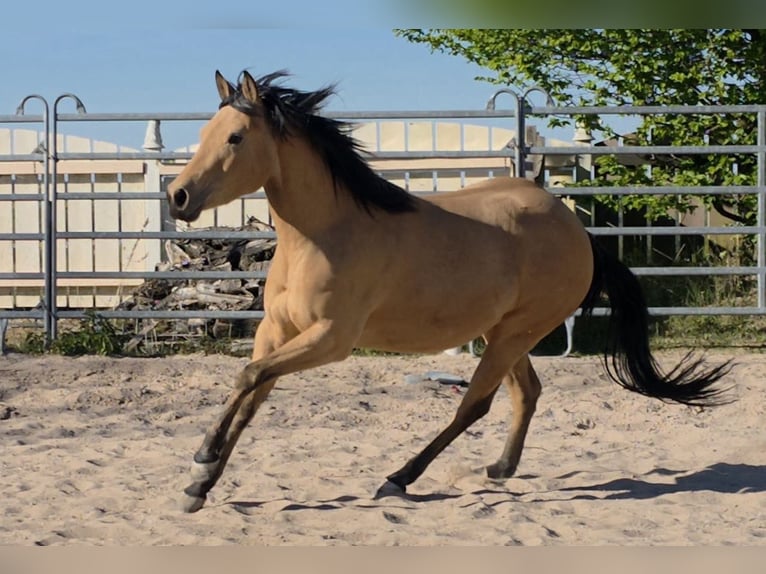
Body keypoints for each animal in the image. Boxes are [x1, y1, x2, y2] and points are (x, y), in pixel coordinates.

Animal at [166, 70, 731, 513]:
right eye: (206, 132)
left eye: (236, 137)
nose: (178, 196)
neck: (323, 233)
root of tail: (579, 232)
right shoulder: (276, 331)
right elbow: (250, 392)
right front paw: (199, 485)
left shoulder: (331, 339)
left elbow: (248, 377)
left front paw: (201, 460)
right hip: (505, 333)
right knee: (526, 393)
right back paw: (499, 468)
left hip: (515, 333)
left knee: (475, 406)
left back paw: (399, 479)